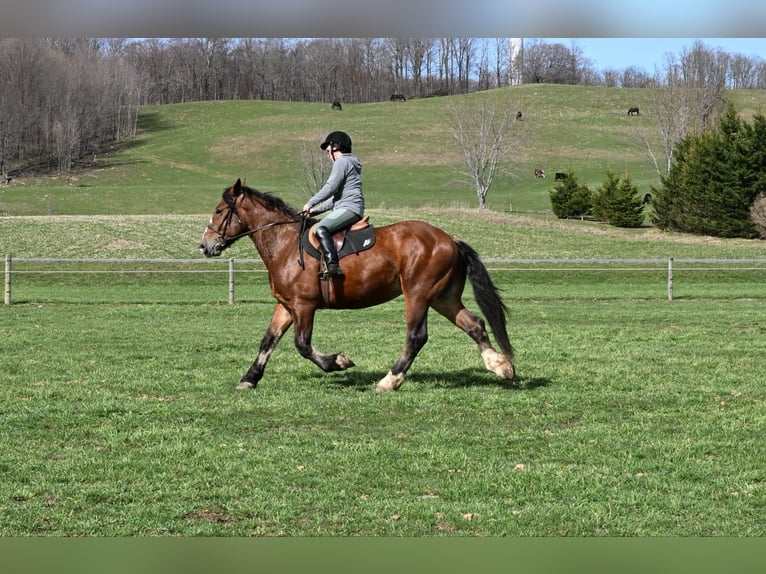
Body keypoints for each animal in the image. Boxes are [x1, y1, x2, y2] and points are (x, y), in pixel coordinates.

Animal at [199, 179, 515, 393]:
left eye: (219, 211)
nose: (205, 246)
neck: (284, 244)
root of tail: (450, 240)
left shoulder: (304, 306)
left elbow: (303, 345)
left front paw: (339, 362)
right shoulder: (286, 306)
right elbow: (268, 341)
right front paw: (249, 378)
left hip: (418, 294)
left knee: (416, 336)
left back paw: (389, 381)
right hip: (442, 297)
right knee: (474, 325)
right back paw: (501, 367)